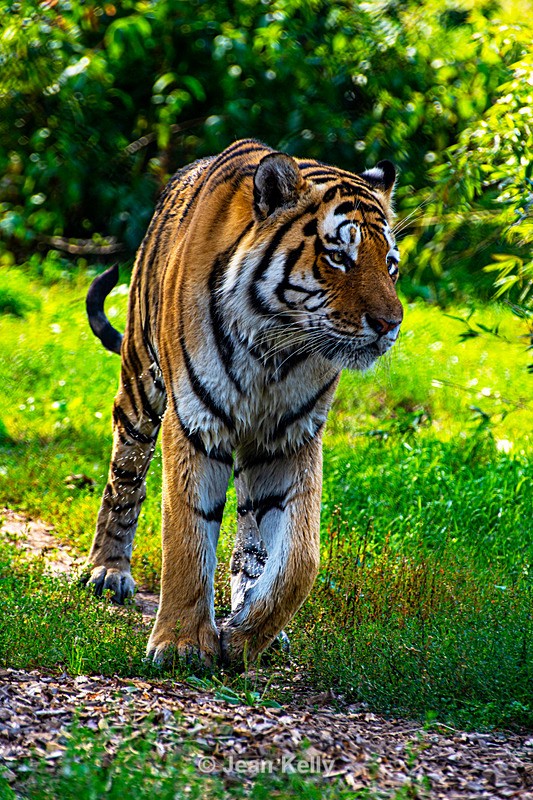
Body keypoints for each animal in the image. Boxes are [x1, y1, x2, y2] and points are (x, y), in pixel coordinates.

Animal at [83, 138, 403, 668]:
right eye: (339, 256)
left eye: (391, 264)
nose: (391, 324)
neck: (275, 347)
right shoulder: (195, 424)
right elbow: (187, 537)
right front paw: (181, 644)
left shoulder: (290, 438)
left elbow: (300, 557)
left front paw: (246, 636)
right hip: (140, 389)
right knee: (123, 480)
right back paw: (108, 573)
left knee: (252, 536)